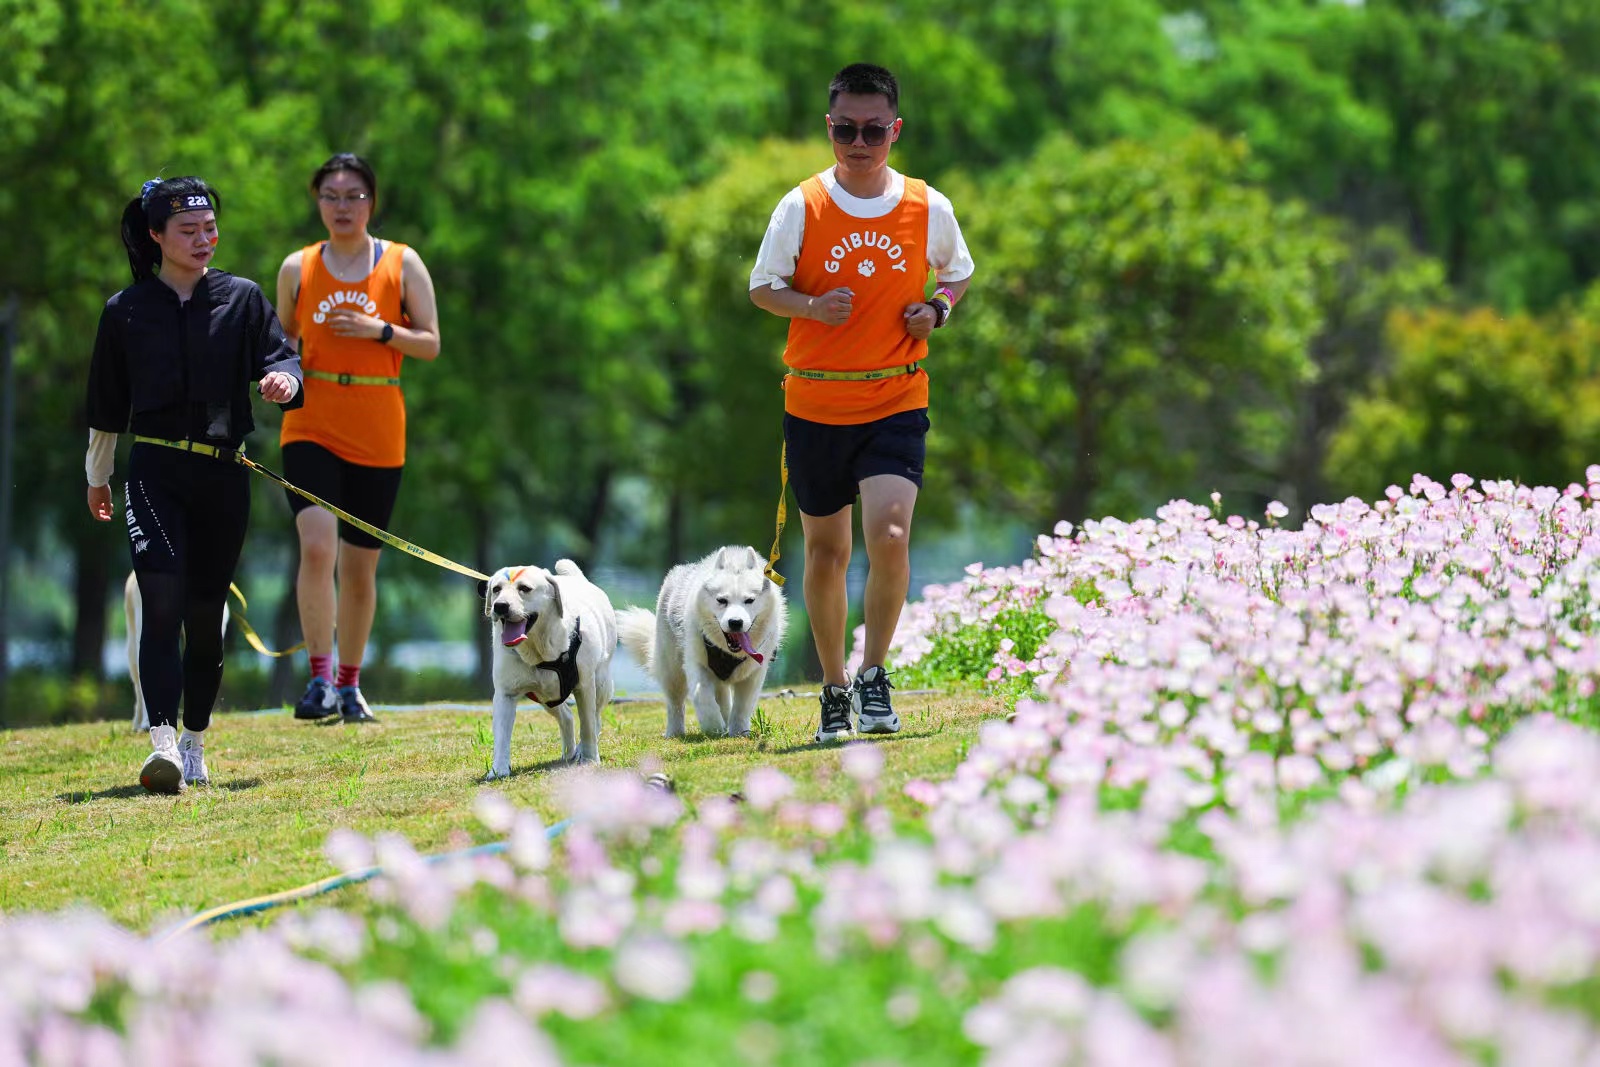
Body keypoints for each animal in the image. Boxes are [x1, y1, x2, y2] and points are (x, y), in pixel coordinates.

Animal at [476, 559, 614, 777]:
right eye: (496, 589)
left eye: (524, 588)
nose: (500, 606)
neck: (540, 651)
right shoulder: (505, 694)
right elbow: (501, 737)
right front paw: (498, 770)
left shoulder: (584, 686)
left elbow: (588, 726)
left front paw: (591, 759)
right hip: (543, 696)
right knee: (566, 716)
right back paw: (569, 754)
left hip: (601, 683)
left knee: (596, 717)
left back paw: (581, 750)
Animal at [614, 547, 784, 739]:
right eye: (721, 600)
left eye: (749, 600)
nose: (735, 622)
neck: (728, 652)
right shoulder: (696, 664)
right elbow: (701, 695)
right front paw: (713, 727)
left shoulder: (753, 675)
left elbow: (742, 707)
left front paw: (738, 732)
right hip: (672, 670)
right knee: (675, 703)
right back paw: (675, 732)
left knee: (723, 697)